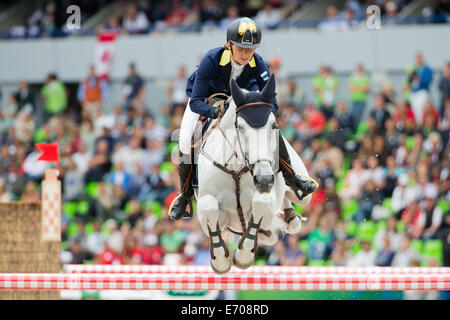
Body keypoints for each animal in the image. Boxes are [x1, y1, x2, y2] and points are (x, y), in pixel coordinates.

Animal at [195, 75, 314, 276]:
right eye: (240, 127)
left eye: (274, 126)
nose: (264, 180)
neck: (236, 168)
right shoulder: (206, 201)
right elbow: (210, 208)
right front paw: (221, 262)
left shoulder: (265, 196)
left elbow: (261, 202)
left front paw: (243, 257)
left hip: (303, 196)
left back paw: (290, 216)